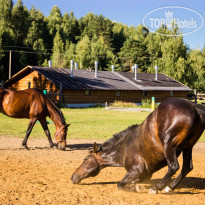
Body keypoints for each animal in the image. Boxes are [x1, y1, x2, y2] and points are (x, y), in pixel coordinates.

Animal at [71, 97, 205, 194]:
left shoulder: (135, 171)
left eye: (86, 159)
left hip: (169, 145)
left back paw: (156, 188)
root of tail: (194, 106)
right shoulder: (145, 174)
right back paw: (169, 188)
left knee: (173, 167)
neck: (124, 148)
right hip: (188, 147)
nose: (73, 177)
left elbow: (120, 184)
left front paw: (136, 188)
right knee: (186, 167)